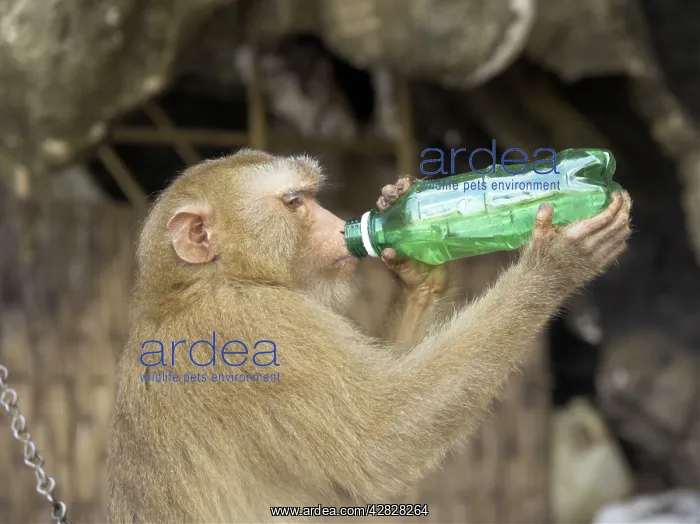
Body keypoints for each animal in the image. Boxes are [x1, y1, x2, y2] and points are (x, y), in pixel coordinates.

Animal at [107, 148, 632, 523]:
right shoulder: (258, 329)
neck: (198, 285)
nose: (339, 225)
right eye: (295, 202)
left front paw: (414, 253)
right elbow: (378, 443)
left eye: (311, 196)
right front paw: (557, 262)